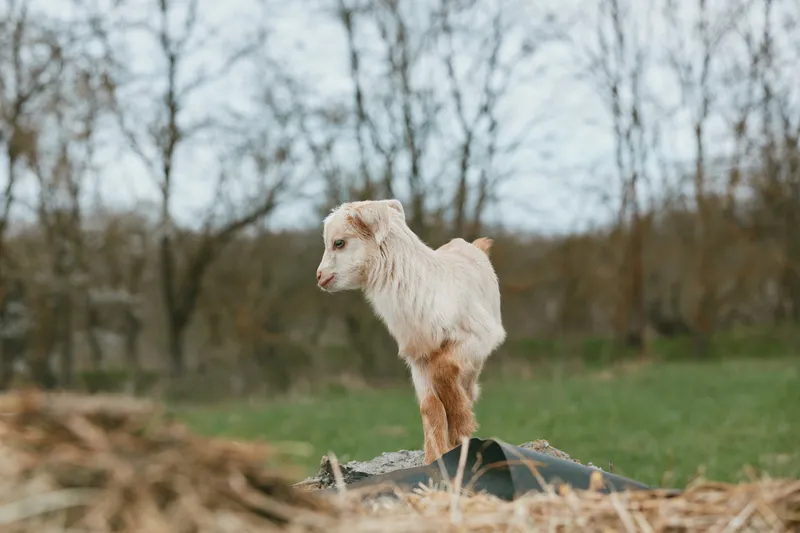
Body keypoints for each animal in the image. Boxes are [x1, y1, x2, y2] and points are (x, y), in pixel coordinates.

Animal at [315, 199, 506, 463]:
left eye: (339, 243)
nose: (319, 276)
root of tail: (474, 246)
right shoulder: (418, 356)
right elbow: (430, 405)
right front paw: (435, 458)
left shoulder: (478, 336)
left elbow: (444, 370)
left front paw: (461, 426)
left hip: (476, 357)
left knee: (468, 386)